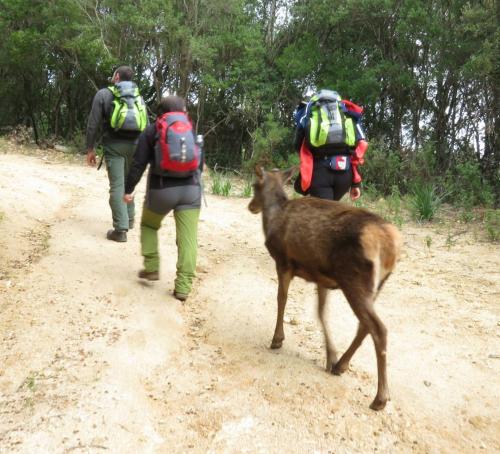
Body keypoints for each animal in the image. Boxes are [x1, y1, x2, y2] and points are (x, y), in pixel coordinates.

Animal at [248, 167, 404, 412]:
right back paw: (341, 365)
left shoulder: (283, 261)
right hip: (376, 285)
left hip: (355, 280)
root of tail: (392, 246)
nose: (251, 206)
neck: (272, 219)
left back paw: (380, 398)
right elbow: (321, 312)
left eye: (255, 185)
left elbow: (281, 298)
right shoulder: (321, 277)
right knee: (365, 325)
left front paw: (277, 339)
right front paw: (330, 356)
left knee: (378, 328)